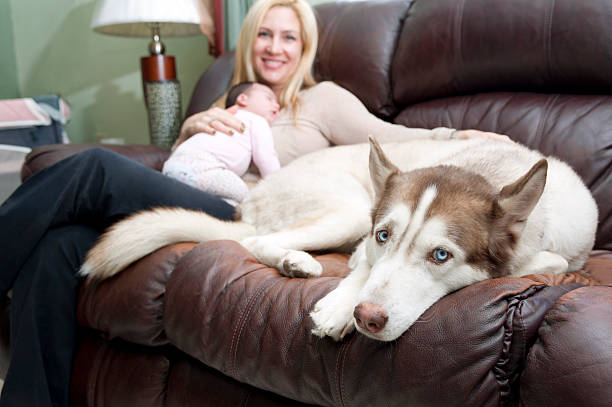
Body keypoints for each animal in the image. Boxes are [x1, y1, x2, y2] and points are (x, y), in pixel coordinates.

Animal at [79, 139, 596, 342]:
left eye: (440, 255)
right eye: (385, 235)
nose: (367, 318)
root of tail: (253, 199)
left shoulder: (568, 251)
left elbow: (549, 263)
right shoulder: (366, 239)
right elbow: (363, 269)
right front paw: (339, 307)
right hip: (347, 209)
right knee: (257, 244)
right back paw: (298, 262)